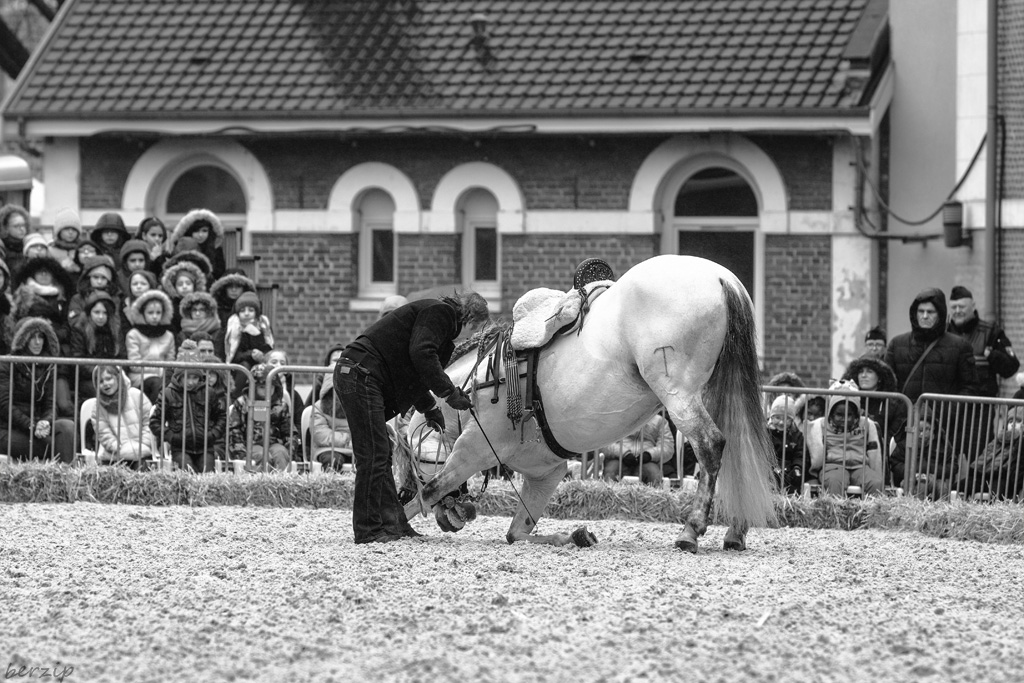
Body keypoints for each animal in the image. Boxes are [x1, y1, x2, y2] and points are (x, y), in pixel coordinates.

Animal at [399, 253, 774, 552]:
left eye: (411, 461)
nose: (453, 518)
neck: (475, 386)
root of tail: (720, 276)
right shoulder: (545, 475)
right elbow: (517, 533)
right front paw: (575, 536)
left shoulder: (473, 449)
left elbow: (430, 491)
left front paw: (397, 519)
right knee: (738, 449)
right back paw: (735, 532)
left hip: (678, 393)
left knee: (711, 444)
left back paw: (690, 531)